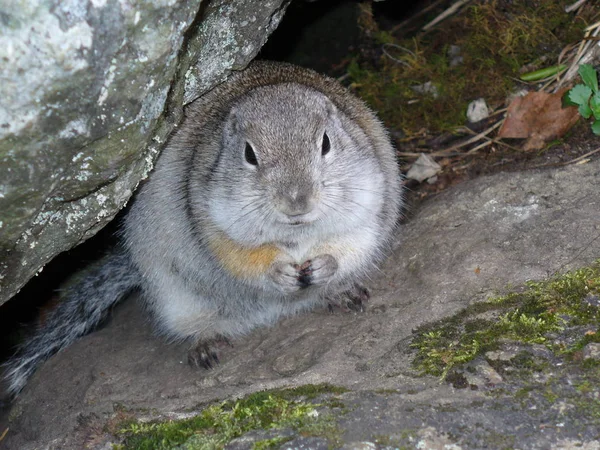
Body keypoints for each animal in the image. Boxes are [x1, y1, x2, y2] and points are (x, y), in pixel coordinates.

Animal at [4, 61, 400, 396]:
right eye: (249, 154)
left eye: (326, 143)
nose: (296, 203)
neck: (296, 235)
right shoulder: (212, 223)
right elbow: (240, 258)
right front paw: (279, 273)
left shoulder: (370, 202)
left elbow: (351, 244)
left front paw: (325, 266)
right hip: (174, 299)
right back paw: (206, 346)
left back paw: (342, 294)